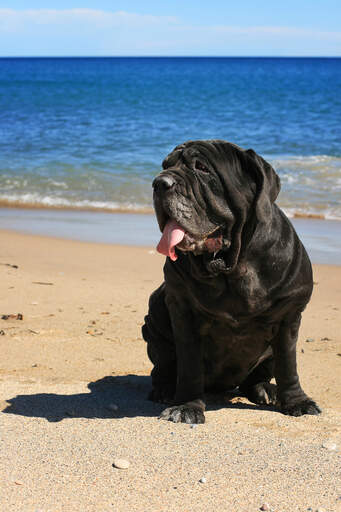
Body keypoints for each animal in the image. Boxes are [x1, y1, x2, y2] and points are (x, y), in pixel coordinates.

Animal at [141, 140, 322, 424]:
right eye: (165, 165)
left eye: (201, 167)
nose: (159, 183)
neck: (233, 266)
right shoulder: (182, 309)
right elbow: (189, 364)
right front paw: (187, 405)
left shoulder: (289, 314)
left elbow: (288, 364)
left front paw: (297, 401)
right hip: (156, 315)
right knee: (163, 366)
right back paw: (165, 389)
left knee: (257, 377)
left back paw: (265, 389)